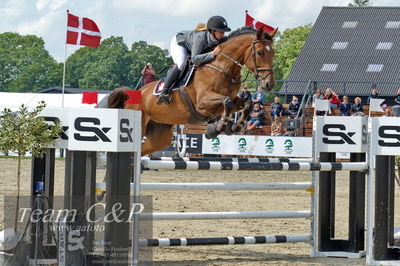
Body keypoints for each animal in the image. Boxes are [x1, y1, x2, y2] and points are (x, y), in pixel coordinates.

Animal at [107, 26, 276, 155]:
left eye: (273, 53)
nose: (269, 84)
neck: (223, 68)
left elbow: (247, 104)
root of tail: (132, 94)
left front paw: (234, 126)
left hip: (160, 135)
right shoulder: (203, 103)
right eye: (259, 52)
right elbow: (226, 102)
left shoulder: (234, 100)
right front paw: (215, 129)